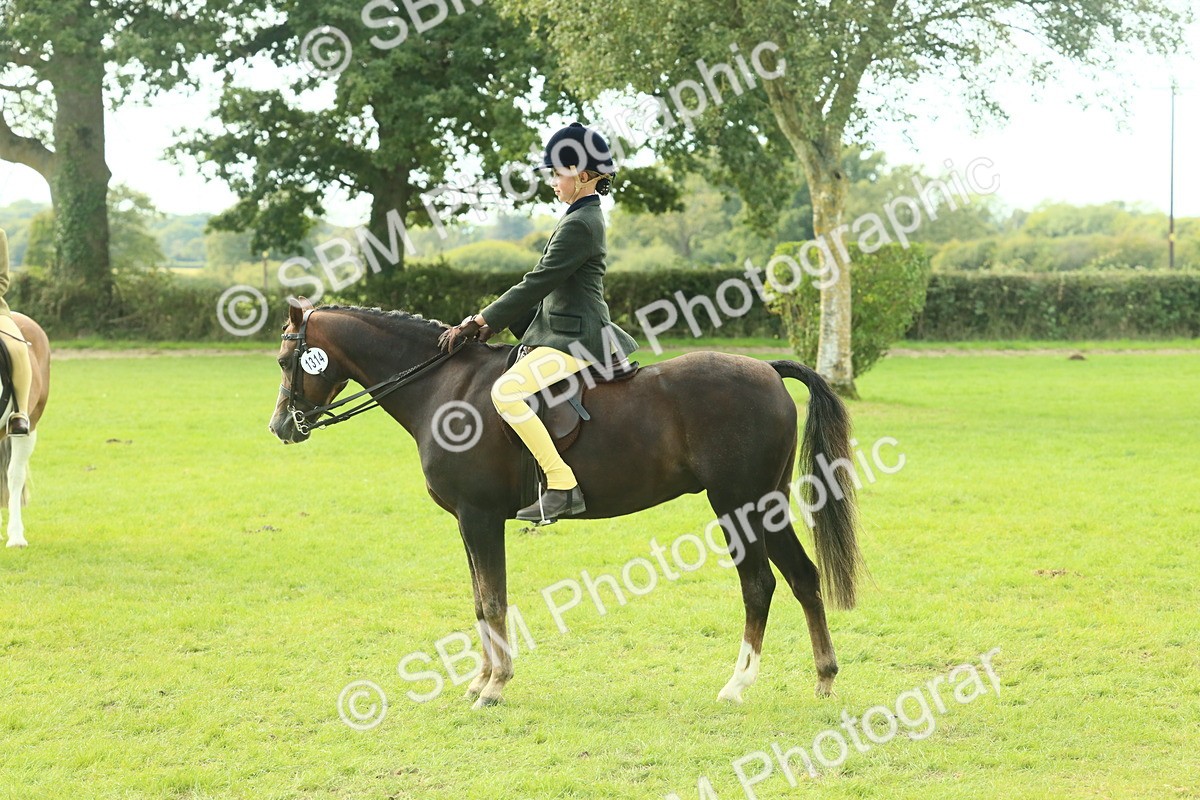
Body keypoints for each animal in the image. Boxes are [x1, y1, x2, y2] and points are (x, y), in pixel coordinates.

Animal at [269, 299, 862, 708]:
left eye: (284, 360)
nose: (280, 427)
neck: (444, 387)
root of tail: (767, 369)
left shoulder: (480, 517)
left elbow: (493, 601)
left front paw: (495, 687)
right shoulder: (466, 522)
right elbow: (480, 601)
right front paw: (480, 681)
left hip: (738, 503)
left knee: (758, 585)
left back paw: (736, 685)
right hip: (768, 503)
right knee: (803, 578)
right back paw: (825, 678)